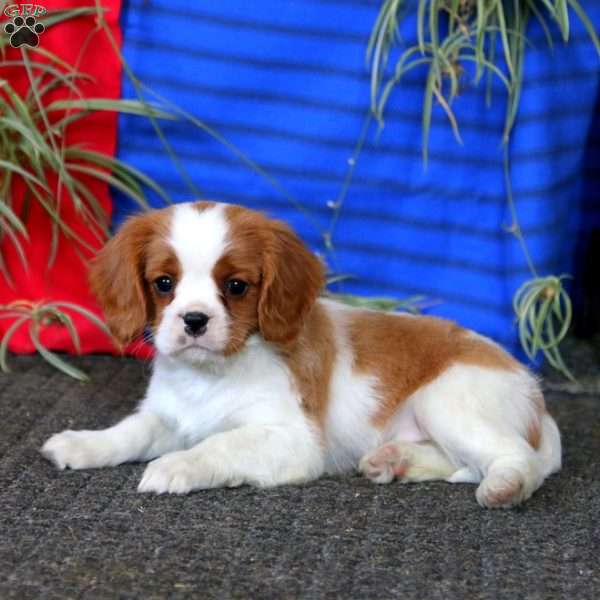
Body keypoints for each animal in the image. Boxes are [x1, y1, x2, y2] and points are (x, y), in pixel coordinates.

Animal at [42, 200, 564, 506]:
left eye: (236, 286)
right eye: (164, 283)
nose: (194, 321)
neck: (211, 375)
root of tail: (533, 391)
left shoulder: (292, 439)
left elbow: (220, 443)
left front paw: (177, 465)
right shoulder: (168, 417)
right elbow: (130, 431)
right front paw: (84, 444)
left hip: (448, 402)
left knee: (514, 458)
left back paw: (504, 485)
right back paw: (394, 460)